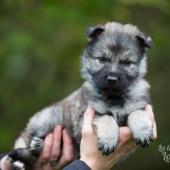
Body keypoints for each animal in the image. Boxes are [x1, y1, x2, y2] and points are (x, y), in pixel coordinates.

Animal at [8, 21, 153, 169]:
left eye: (127, 63)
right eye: (102, 59)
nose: (112, 79)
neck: (113, 96)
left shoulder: (141, 105)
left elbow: (137, 112)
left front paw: (142, 130)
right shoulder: (85, 116)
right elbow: (106, 117)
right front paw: (109, 138)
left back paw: (37, 146)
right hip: (49, 118)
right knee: (23, 137)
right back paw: (19, 160)